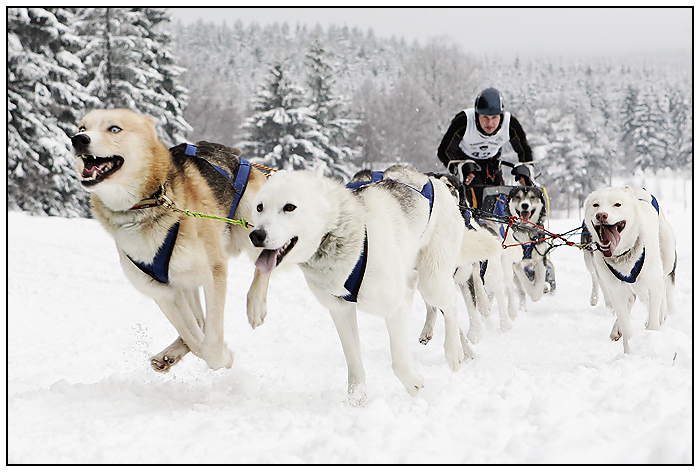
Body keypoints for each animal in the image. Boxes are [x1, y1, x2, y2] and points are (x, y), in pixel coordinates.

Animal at [71, 109, 268, 370]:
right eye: (82, 128)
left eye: (114, 129)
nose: (78, 139)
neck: (148, 203)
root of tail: (230, 153)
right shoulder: (162, 291)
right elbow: (195, 336)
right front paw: (187, 348)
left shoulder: (214, 271)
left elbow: (210, 342)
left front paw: (223, 357)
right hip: (187, 280)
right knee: (198, 319)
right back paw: (172, 351)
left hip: (249, 228)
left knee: (268, 259)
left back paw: (256, 304)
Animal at [249, 165, 490, 402]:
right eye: (259, 207)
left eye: (289, 207)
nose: (256, 235)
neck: (337, 232)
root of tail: (436, 181)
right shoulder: (340, 309)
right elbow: (353, 358)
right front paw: (357, 397)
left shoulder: (395, 304)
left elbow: (399, 361)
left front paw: (413, 384)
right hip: (416, 277)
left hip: (433, 279)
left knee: (451, 305)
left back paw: (455, 351)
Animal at [584, 186, 676, 352]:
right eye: (595, 205)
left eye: (617, 204)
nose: (601, 215)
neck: (623, 255)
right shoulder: (615, 291)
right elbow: (627, 328)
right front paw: (629, 352)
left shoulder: (654, 284)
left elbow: (653, 321)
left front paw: (652, 341)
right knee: (633, 299)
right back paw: (617, 328)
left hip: (666, 259)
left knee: (663, 288)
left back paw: (662, 313)